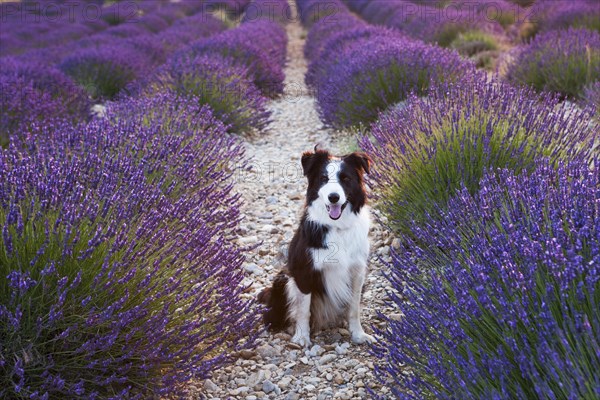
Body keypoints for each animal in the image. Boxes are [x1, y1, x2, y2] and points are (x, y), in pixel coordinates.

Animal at [258, 148, 376, 346]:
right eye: (323, 178)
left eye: (346, 178)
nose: (333, 197)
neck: (337, 226)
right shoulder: (304, 271)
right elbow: (303, 310)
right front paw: (301, 337)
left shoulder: (358, 272)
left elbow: (354, 308)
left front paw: (358, 334)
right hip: (284, 279)